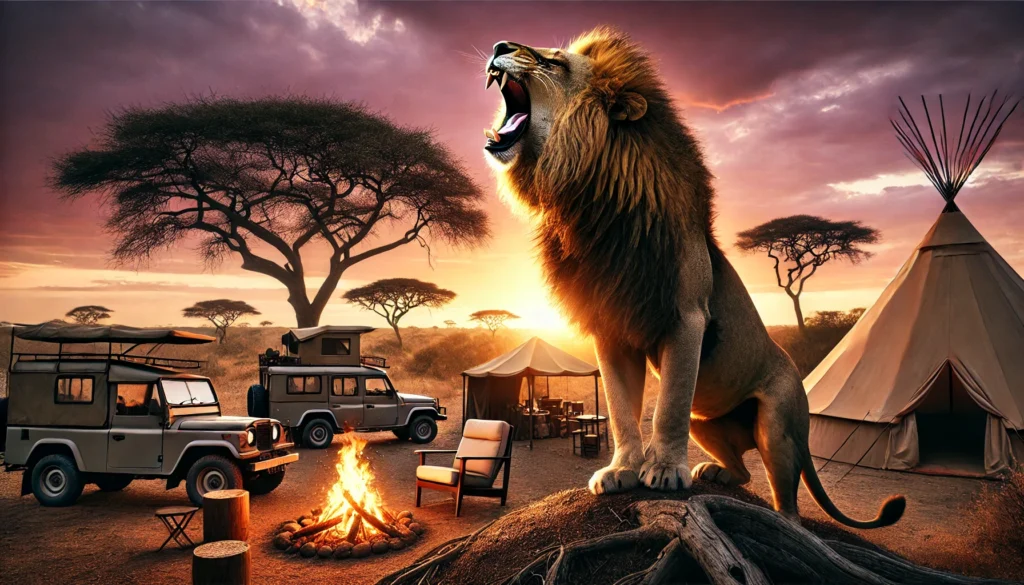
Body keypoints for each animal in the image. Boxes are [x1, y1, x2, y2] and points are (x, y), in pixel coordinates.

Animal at [482, 27, 905, 528]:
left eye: (554, 62)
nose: (498, 47)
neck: (588, 204)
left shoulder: (686, 317)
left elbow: (667, 407)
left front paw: (664, 470)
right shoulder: (609, 326)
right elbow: (622, 411)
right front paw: (620, 470)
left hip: (777, 427)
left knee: (788, 501)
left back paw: (777, 515)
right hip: (708, 423)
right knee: (743, 470)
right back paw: (716, 473)